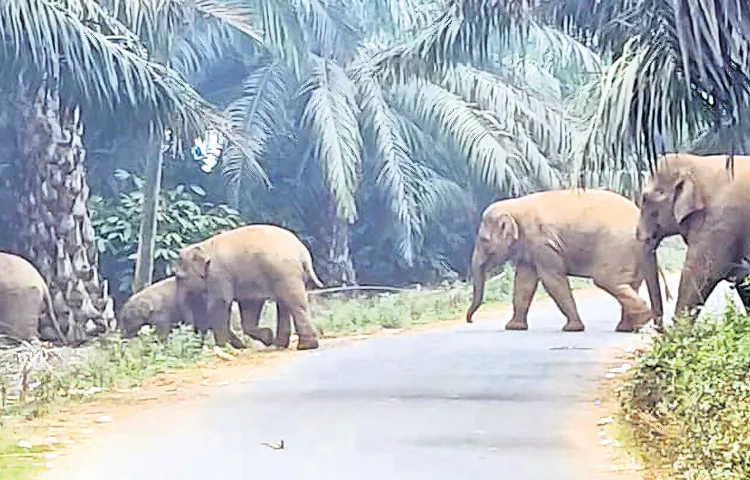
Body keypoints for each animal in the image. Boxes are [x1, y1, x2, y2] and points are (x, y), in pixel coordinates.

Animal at [178, 223, 328, 350]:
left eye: (179, 277)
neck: (204, 246)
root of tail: (303, 252)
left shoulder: (219, 275)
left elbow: (221, 303)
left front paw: (221, 347)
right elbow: (250, 305)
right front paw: (266, 337)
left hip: (285, 272)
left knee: (293, 303)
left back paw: (305, 346)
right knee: (284, 304)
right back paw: (278, 345)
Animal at [464, 189, 668, 332]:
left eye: (484, 240)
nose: (471, 320)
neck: (515, 206)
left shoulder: (542, 242)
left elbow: (552, 280)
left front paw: (573, 328)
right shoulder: (531, 247)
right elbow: (524, 282)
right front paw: (514, 327)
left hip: (616, 247)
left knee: (606, 280)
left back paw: (640, 319)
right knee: (629, 283)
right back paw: (627, 327)